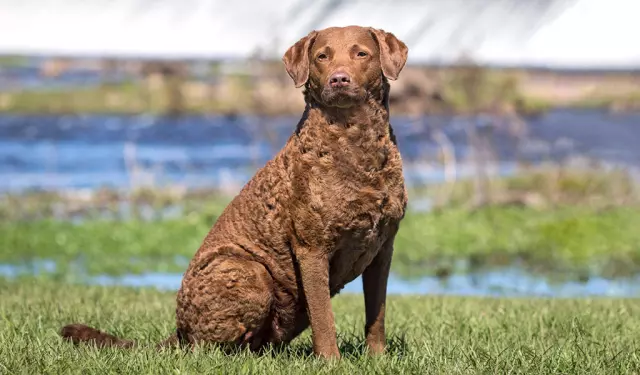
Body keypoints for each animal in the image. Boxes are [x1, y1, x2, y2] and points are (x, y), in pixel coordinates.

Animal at [61, 25, 410, 360]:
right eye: (322, 56)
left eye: (361, 54)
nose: (339, 78)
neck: (354, 142)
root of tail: (179, 330)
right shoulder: (312, 249)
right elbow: (324, 317)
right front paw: (330, 362)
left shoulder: (384, 248)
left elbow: (376, 313)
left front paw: (377, 358)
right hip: (249, 270)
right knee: (207, 348)